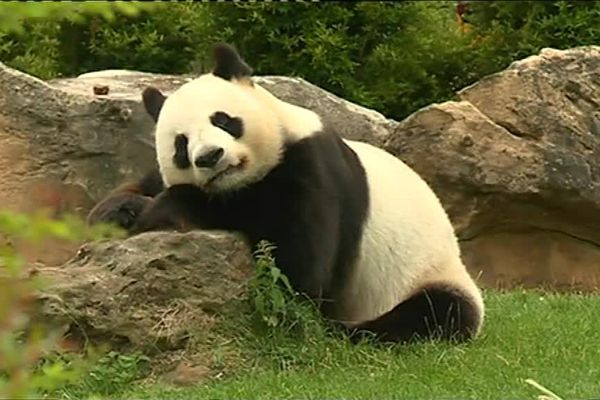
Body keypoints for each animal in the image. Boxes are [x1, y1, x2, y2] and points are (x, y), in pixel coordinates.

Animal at [88, 43, 482, 344]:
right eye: (181, 145)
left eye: (223, 120)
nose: (210, 157)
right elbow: (140, 184)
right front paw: (118, 211)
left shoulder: (311, 168)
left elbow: (296, 265)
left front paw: (163, 210)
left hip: (423, 276)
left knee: (435, 312)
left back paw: (347, 330)